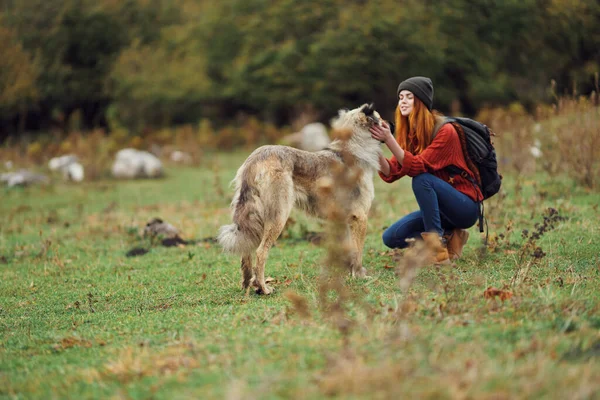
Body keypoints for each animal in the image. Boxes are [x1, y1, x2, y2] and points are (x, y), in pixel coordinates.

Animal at [218, 104, 382, 296]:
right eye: (381, 118)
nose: (393, 126)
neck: (352, 150)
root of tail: (256, 159)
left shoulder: (343, 220)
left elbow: (348, 250)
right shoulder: (360, 218)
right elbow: (358, 252)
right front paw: (360, 275)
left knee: (246, 252)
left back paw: (247, 284)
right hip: (278, 217)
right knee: (260, 252)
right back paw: (263, 287)